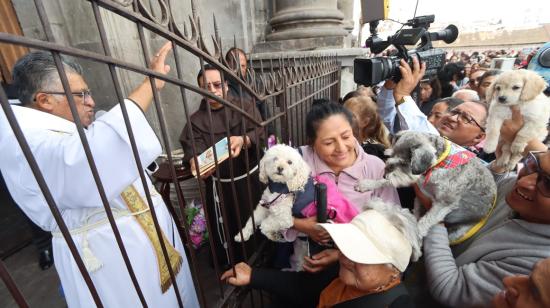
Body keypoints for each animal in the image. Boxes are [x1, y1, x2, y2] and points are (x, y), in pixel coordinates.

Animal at [356, 131, 498, 248]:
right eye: (392, 155)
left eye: (404, 163)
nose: (385, 173)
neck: (437, 165)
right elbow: (387, 182)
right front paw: (367, 184)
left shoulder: (444, 203)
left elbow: (425, 221)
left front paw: (415, 234)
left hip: (458, 232)